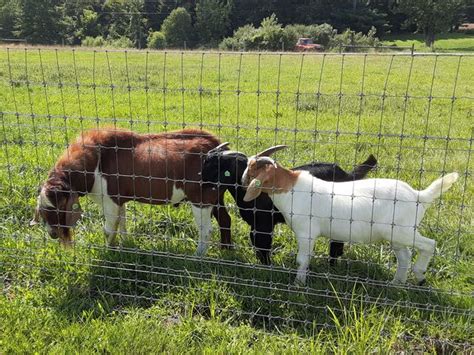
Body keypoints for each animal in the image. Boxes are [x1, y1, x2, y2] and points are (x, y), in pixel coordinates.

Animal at [29, 128, 231, 256]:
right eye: (43, 211)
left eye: (60, 206)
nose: (52, 233)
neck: (94, 162)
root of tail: (218, 145)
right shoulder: (119, 199)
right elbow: (122, 222)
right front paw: (125, 244)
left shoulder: (109, 200)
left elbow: (109, 229)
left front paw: (109, 252)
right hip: (216, 196)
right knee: (225, 219)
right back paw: (226, 250)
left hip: (201, 198)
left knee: (206, 229)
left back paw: (198, 256)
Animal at [201, 143, 378, 266]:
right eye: (206, 161)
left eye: (217, 165)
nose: (201, 181)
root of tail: (347, 175)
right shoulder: (255, 225)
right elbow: (257, 244)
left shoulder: (264, 224)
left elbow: (263, 245)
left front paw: (267, 267)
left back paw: (332, 265)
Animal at [243, 146, 458, 288]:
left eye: (253, 169)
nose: (244, 180)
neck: (293, 188)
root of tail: (419, 196)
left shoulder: (307, 233)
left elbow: (302, 260)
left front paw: (298, 284)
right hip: (396, 236)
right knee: (404, 256)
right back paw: (396, 283)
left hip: (403, 231)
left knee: (429, 244)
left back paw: (420, 275)